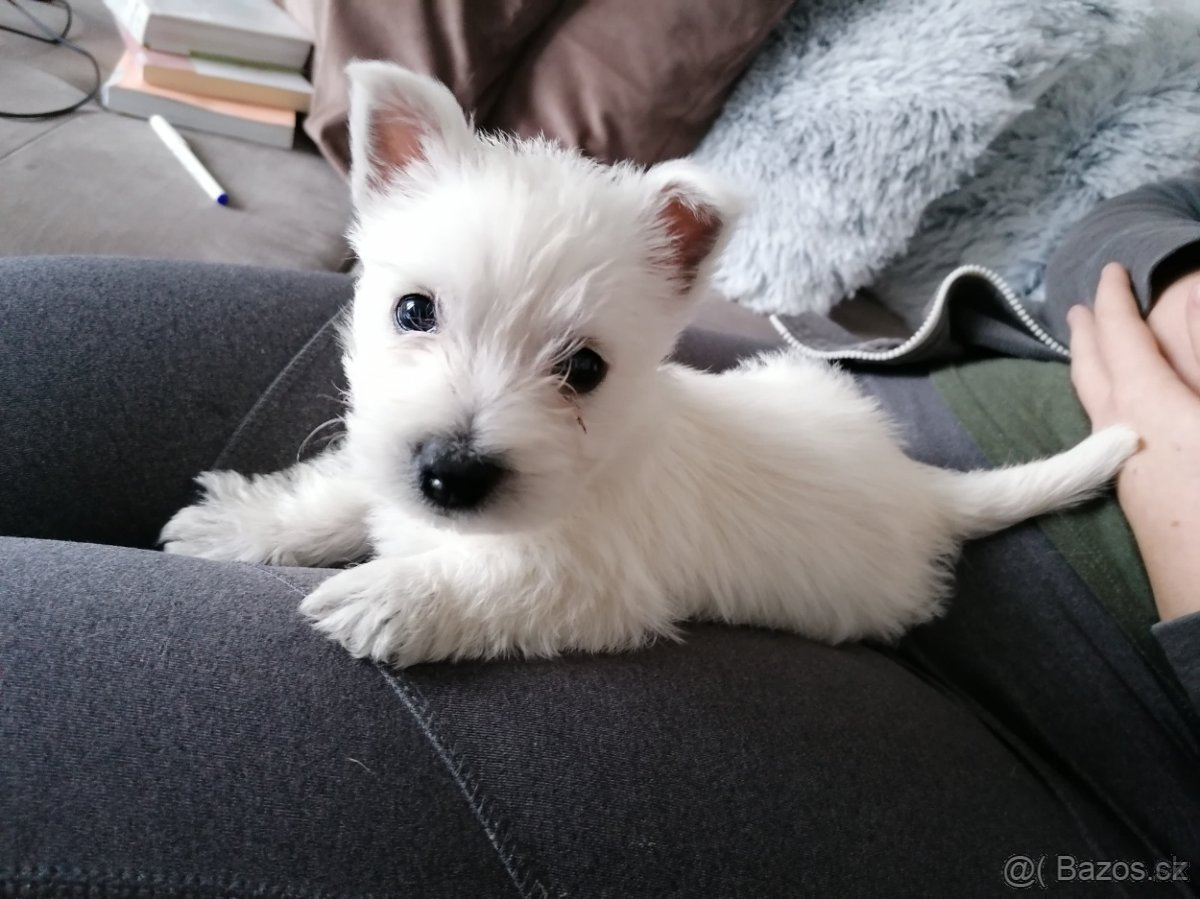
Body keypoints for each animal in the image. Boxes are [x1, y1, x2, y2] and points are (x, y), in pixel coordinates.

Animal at [161, 61, 1138, 667]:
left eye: (584, 368)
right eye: (413, 311)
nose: (452, 475)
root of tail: (922, 488)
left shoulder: (598, 585)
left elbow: (503, 582)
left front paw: (393, 599)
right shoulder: (383, 458)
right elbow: (340, 490)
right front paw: (239, 523)